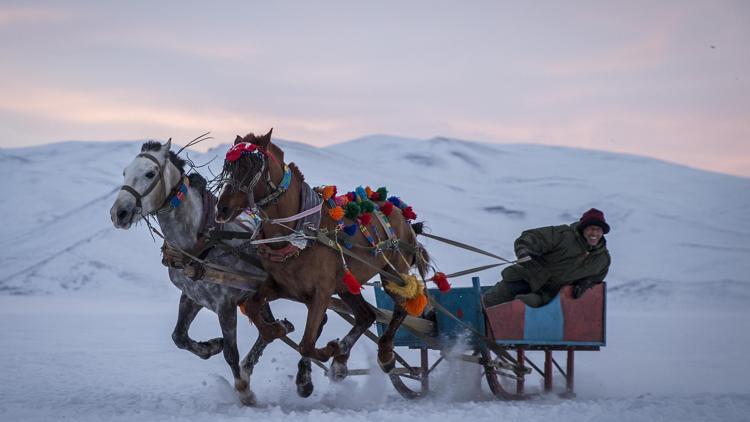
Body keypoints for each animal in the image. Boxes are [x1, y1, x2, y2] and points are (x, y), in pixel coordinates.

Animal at [214, 129, 432, 390]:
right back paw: (341, 361)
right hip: (347, 286)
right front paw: (276, 330)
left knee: (402, 307)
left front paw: (328, 352)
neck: (300, 231)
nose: (221, 209)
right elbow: (253, 306)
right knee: (366, 316)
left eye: (250, 167)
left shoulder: (321, 293)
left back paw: (385, 356)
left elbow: (306, 343)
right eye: (227, 166)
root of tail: (403, 216)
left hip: (393, 275)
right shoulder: (281, 285)